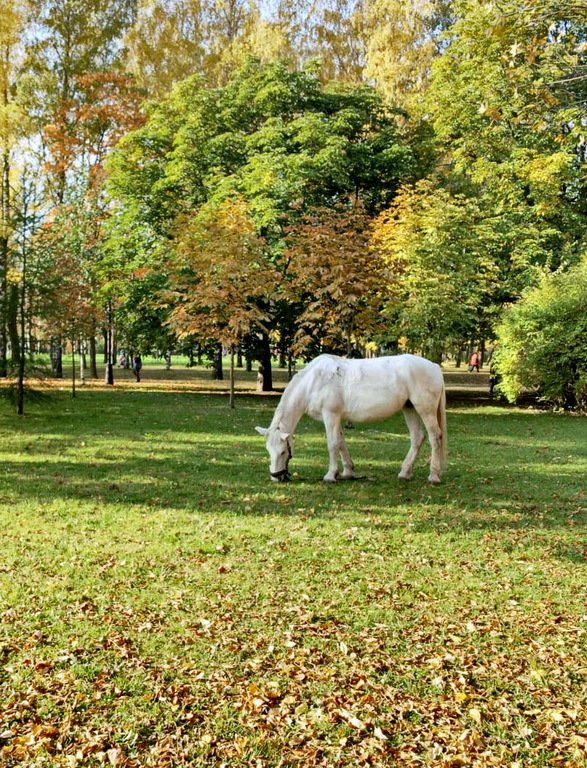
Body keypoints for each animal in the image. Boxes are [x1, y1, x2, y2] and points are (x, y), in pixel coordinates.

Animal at [255, 352, 448, 484]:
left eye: (283, 451)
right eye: (268, 450)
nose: (276, 477)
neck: (314, 381)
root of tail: (434, 367)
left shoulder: (330, 415)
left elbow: (332, 444)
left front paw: (330, 475)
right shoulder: (336, 418)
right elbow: (341, 443)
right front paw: (348, 472)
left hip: (425, 409)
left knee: (435, 437)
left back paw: (433, 475)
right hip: (409, 408)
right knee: (417, 438)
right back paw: (405, 473)